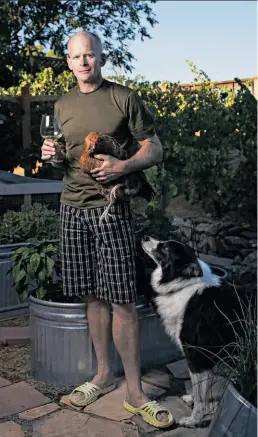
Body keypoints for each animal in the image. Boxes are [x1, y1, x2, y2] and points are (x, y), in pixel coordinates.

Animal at [140, 235, 253, 426]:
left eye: (166, 248)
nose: (145, 237)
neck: (184, 285)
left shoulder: (196, 355)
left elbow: (200, 392)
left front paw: (194, 419)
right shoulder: (206, 358)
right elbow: (202, 388)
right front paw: (194, 402)